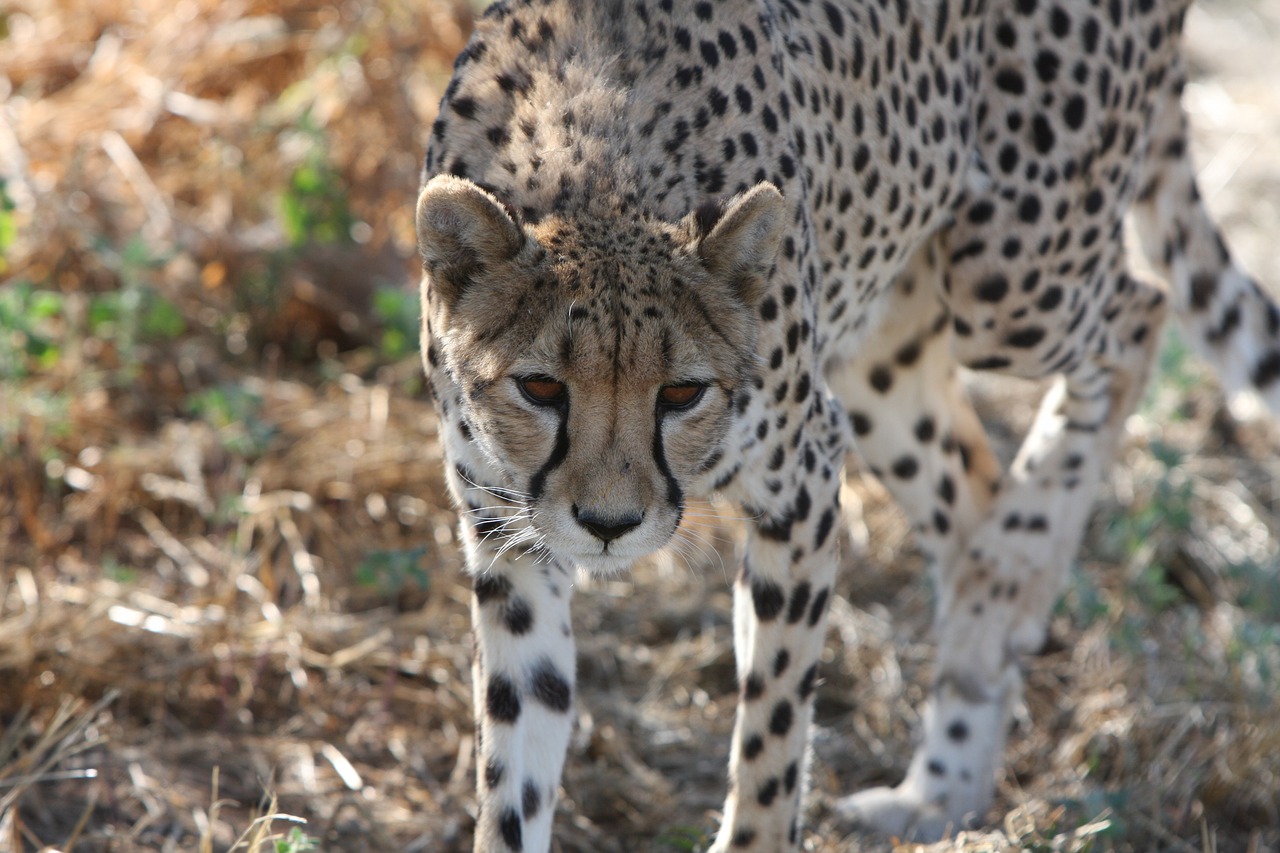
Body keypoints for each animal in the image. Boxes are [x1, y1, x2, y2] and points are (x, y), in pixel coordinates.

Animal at [417, 0, 1280, 845]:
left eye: (682, 393)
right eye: (539, 386)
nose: (608, 524)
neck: (600, 171)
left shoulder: (799, 483)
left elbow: (772, 732)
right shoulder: (508, 535)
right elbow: (516, 764)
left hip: (1009, 274)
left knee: (1137, 314)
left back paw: (1009, 572)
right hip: (880, 348)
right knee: (971, 484)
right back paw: (947, 763)